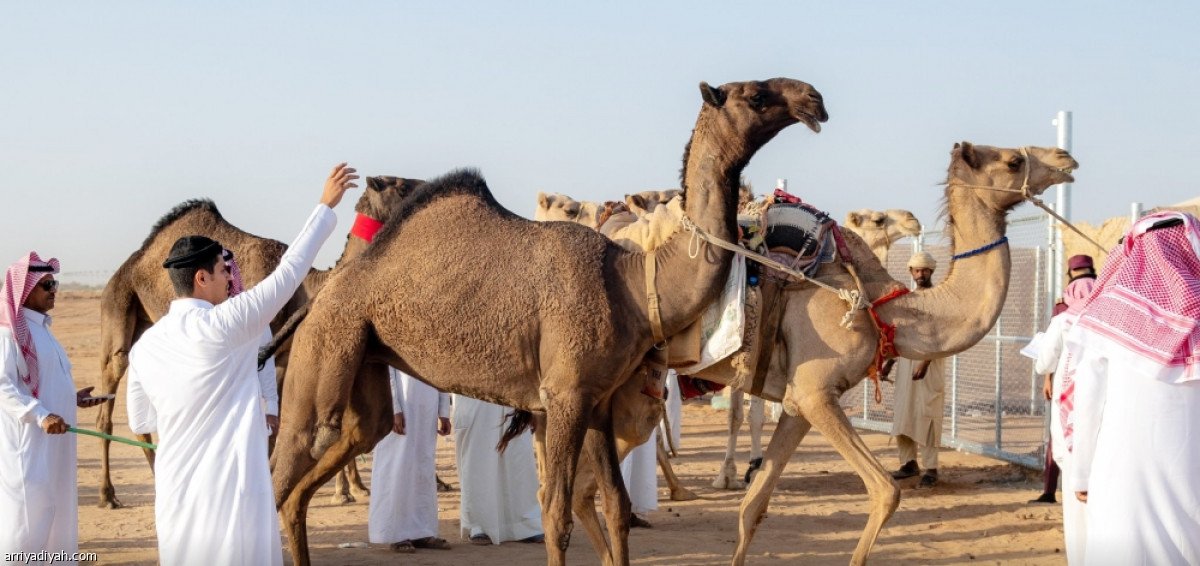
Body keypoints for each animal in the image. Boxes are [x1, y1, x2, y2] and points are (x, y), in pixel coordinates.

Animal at [270, 76, 835, 566]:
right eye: (756, 94)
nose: (814, 98)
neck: (632, 285)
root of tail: (324, 291)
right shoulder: (564, 396)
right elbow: (557, 513)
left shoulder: (599, 401)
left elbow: (618, 507)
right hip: (327, 344)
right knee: (287, 464)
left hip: (363, 365)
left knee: (333, 459)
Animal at [686, 142, 1080, 566]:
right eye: (1013, 161)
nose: (1065, 157)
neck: (882, 307)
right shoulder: (815, 392)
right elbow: (886, 491)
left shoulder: (799, 401)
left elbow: (753, 506)